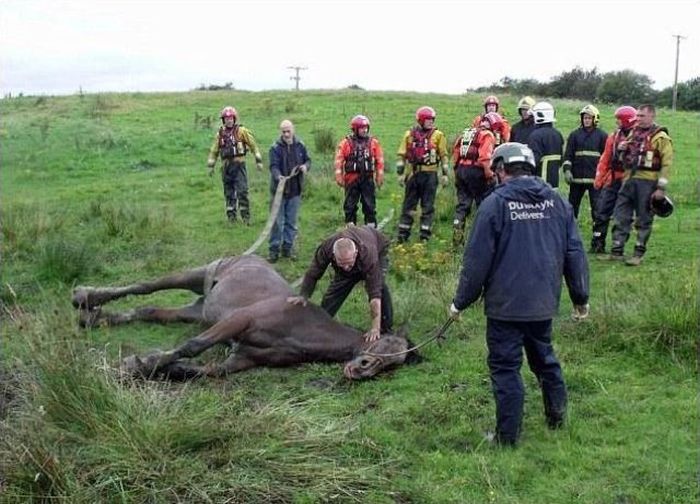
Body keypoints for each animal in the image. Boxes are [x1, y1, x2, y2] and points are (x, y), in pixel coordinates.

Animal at [71, 256, 416, 378]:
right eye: (383, 344)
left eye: (395, 361)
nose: (362, 369)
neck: (300, 329)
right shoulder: (239, 322)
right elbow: (192, 347)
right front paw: (135, 364)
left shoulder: (241, 359)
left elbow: (198, 371)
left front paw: (149, 367)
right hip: (196, 276)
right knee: (146, 286)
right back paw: (85, 297)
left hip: (199, 312)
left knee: (150, 311)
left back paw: (96, 319)